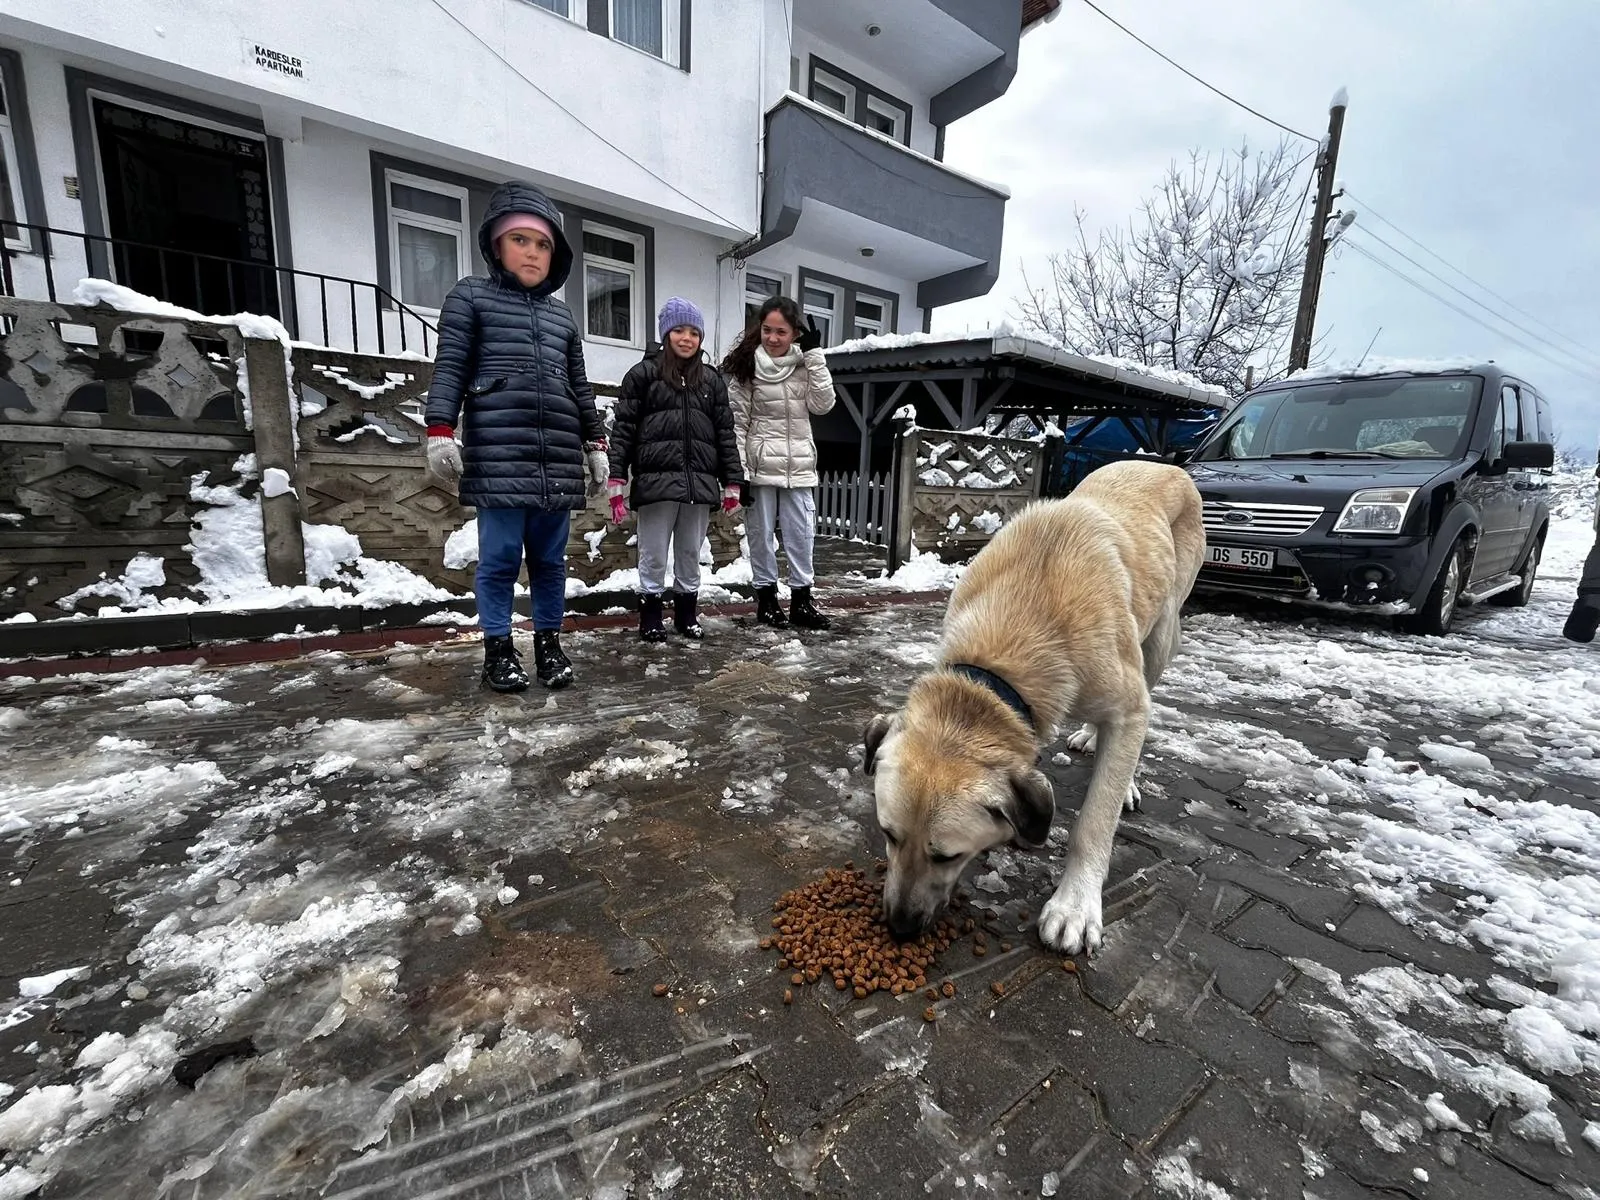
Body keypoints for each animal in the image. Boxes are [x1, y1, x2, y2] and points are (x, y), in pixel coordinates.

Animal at [864, 464, 1203, 960]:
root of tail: (1169, 465)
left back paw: (1123, 780)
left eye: (946, 855)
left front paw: (1075, 906)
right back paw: (1090, 736)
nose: (899, 928)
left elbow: (1094, 822)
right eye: (888, 835)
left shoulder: (1129, 704)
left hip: (1159, 638)